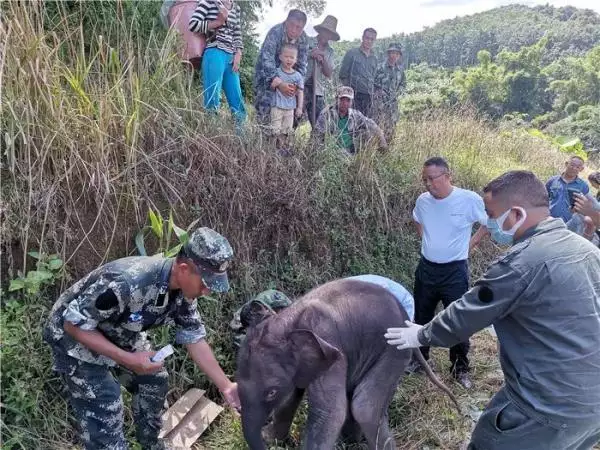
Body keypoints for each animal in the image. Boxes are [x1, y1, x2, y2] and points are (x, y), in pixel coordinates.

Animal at [234, 278, 454, 450]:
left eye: (271, 392)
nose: (262, 436)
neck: (288, 321)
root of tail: (408, 322)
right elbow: (291, 398)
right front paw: (270, 437)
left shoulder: (330, 345)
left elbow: (330, 412)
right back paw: (351, 440)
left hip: (394, 351)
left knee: (364, 407)